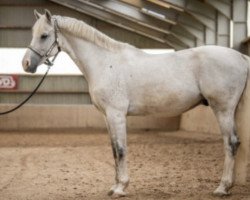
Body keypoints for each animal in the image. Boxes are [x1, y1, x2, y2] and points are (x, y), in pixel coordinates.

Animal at [22, 10, 249, 198]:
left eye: (44, 35)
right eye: (33, 33)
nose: (26, 64)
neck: (105, 62)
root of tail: (241, 56)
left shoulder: (116, 114)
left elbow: (121, 149)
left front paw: (121, 188)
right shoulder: (107, 116)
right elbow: (114, 150)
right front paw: (115, 186)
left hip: (223, 109)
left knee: (231, 143)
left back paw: (222, 188)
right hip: (233, 110)